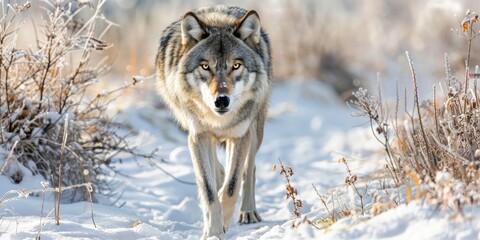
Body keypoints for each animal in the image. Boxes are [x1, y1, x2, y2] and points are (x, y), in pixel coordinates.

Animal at [156, 5, 272, 238]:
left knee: (249, 170)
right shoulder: (197, 136)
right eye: (205, 66)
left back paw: (248, 212)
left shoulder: (240, 135)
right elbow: (209, 191)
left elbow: (231, 188)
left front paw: (222, 227)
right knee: (219, 172)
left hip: (255, 132)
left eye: (236, 65)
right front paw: (213, 232)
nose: (221, 100)